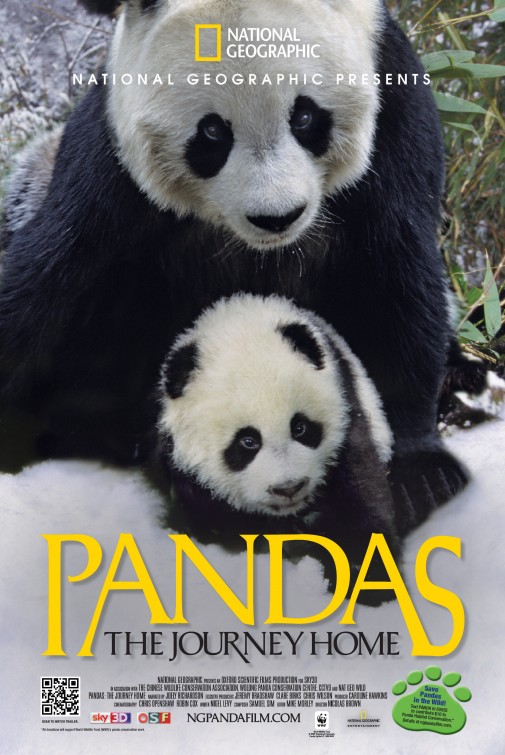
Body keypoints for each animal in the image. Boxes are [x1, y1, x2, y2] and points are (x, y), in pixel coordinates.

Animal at [0, 0, 467, 535]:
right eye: (212, 131)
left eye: (305, 116)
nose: (277, 217)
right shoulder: (112, 163)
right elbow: (50, 279)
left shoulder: (395, 118)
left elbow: (396, 277)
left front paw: (421, 473)